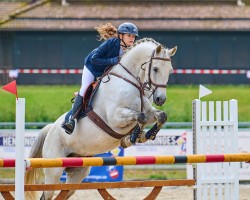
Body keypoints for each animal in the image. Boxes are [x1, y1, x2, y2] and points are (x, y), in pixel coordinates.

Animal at [25, 38, 177, 200]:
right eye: (155, 69)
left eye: (170, 70)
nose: (160, 99)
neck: (131, 82)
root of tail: (51, 128)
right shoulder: (115, 117)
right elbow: (140, 117)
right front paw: (134, 137)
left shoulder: (147, 112)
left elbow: (160, 116)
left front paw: (147, 134)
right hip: (54, 169)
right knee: (47, 194)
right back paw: (68, 124)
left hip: (78, 171)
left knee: (65, 193)